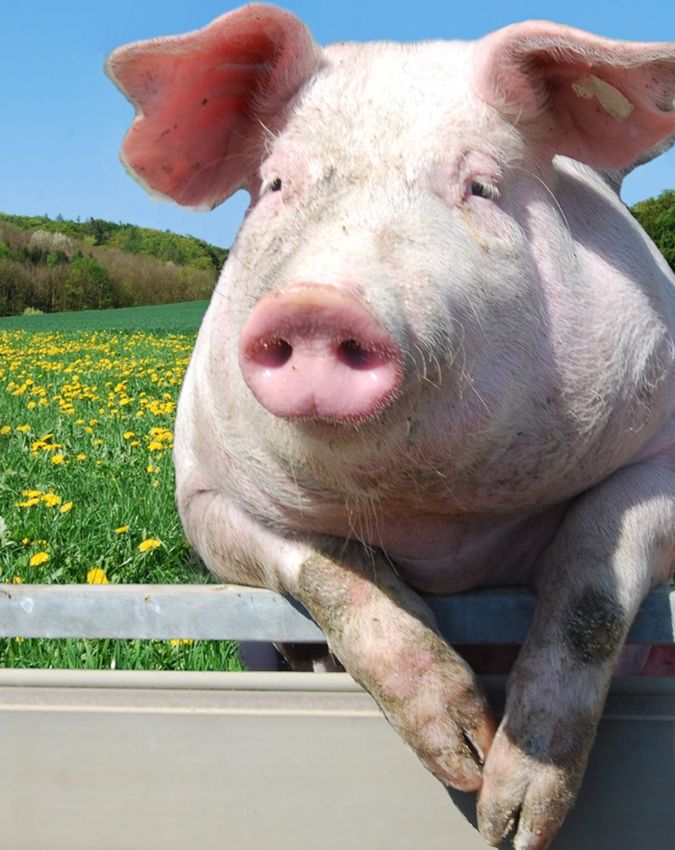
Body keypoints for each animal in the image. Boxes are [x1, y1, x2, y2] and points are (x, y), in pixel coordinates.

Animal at [106, 5, 675, 848]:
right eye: (275, 185)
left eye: (479, 186)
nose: (317, 304)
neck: (438, 522)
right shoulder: (204, 494)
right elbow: (329, 569)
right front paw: (463, 757)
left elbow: (591, 586)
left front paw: (509, 821)